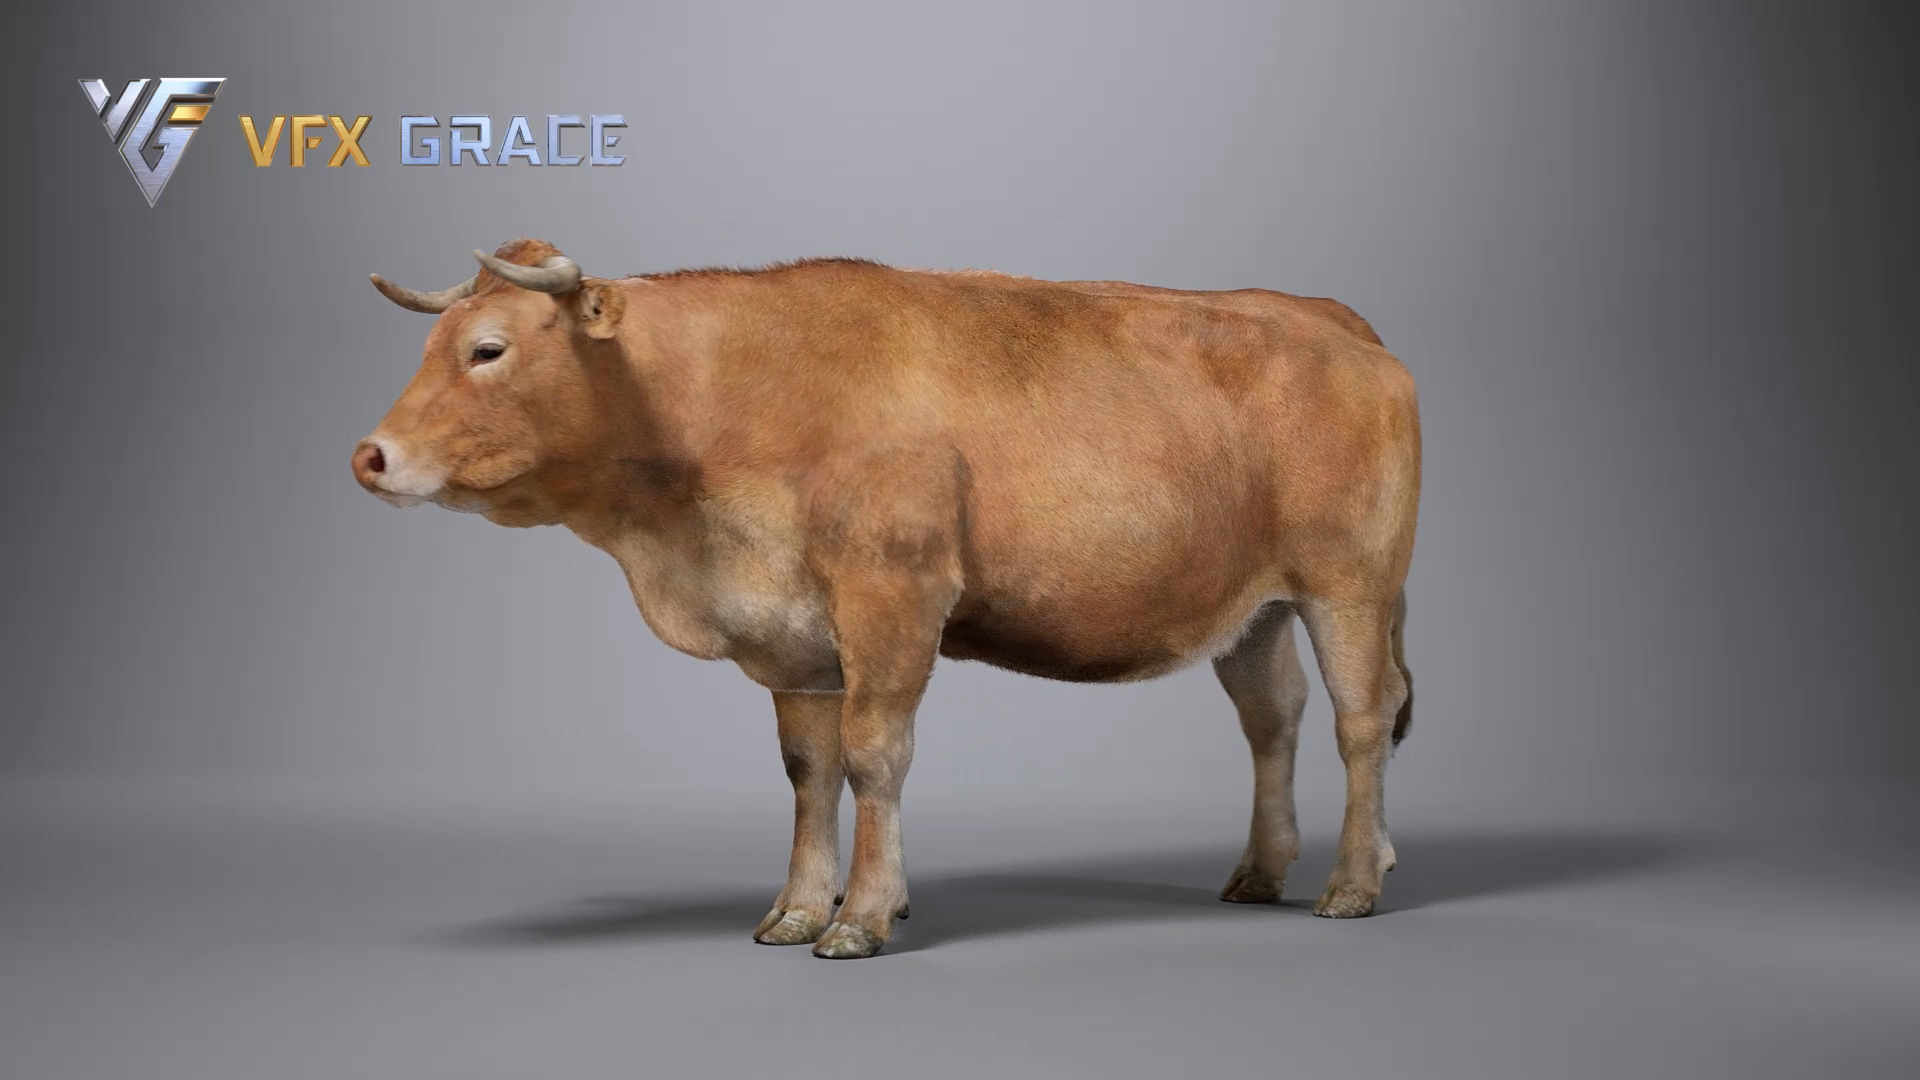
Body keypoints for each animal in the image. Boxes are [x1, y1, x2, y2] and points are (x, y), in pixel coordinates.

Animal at [353, 238, 1420, 959]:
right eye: (436, 343)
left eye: (488, 350)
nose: (371, 455)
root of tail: (1330, 316)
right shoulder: (790, 635)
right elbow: (807, 772)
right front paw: (795, 909)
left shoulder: (893, 596)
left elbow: (874, 756)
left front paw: (862, 917)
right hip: (1255, 609)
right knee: (1272, 717)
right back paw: (1259, 873)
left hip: (1350, 584)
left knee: (1362, 719)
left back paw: (1352, 883)